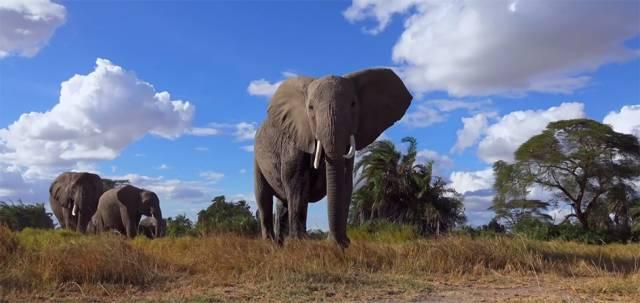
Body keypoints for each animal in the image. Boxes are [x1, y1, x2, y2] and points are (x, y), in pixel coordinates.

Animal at [255, 67, 416, 248]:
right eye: (310, 107)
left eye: (353, 104)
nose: (335, 241)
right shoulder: (295, 138)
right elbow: (296, 183)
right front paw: (300, 244)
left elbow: (345, 182)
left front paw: (342, 244)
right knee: (263, 197)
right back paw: (270, 243)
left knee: (282, 204)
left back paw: (280, 245)